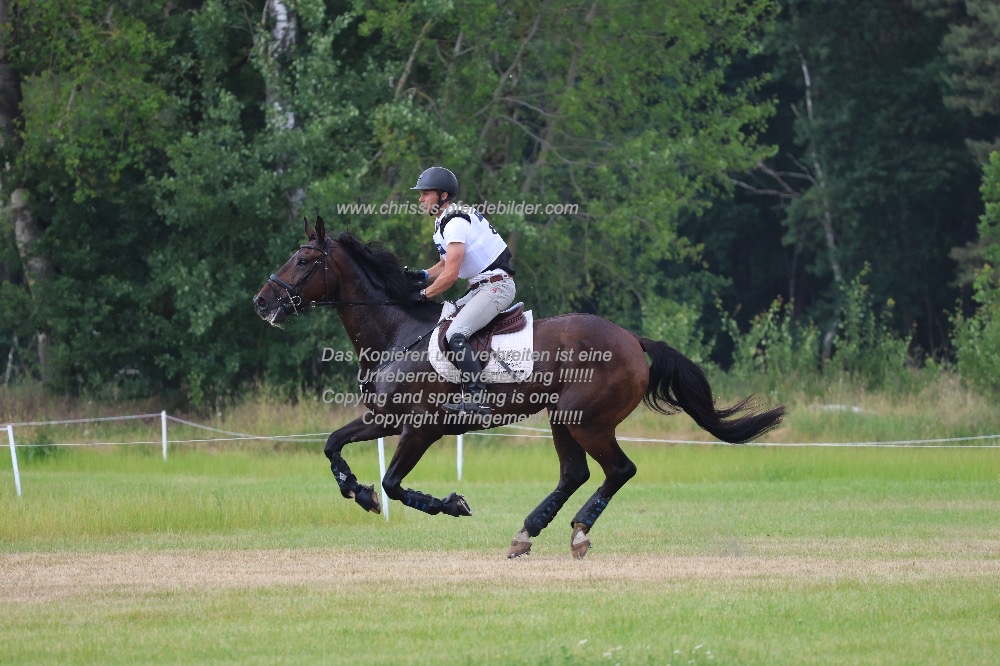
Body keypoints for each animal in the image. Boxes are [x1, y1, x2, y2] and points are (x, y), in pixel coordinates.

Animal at [254, 217, 784, 556]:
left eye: (304, 260)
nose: (262, 303)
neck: (398, 333)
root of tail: (634, 340)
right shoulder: (383, 419)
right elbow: (333, 443)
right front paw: (357, 492)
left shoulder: (422, 427)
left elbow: (394, 482)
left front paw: (447, 504)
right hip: (561, 420)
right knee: (575, 474)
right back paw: (528, 532)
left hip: (586, 420)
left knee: (618, 470)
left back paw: (576, 532)